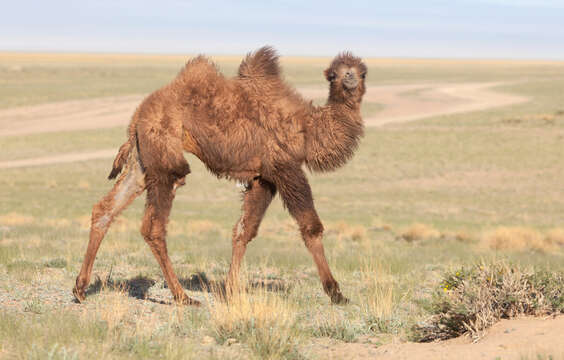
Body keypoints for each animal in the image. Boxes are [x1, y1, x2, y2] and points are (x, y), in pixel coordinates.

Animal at [74, 46, 366, 306]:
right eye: (335, 74)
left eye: (361, 71)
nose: (350, 78)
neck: (308, 128)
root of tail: (138, 116)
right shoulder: (285, 167)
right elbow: (311, 227)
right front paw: (336, 293)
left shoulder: (263, 178)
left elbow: (244, 231)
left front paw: (230, 290)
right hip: (166, 156)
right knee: (154, 226)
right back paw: (183, 297)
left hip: (142, 159)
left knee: (105, 209)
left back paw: (80, 288)